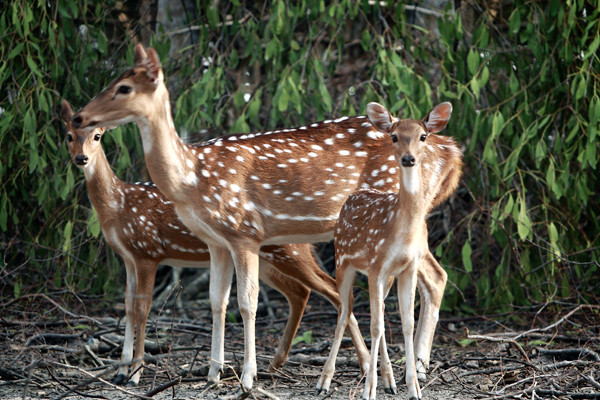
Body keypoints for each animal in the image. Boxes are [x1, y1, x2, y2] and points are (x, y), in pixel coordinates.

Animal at [61, 101, 352, 388]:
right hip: (268, 259)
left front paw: (135, 374)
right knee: (300, 292)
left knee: (330, 289)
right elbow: (129, 308)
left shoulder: (147, 251)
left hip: (287, 251)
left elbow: (142, 310)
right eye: (68, 136)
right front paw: (121, 372)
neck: (117, 207)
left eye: (97, 136)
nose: (81, 158)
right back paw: (275, 364)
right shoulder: (128, 258)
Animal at [316, 103, 462, 400]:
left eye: (423, 136)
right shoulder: (375, 266)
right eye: (394, 136)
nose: (408, 159)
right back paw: (323, 382)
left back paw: (389, 381)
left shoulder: (406, 268)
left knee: (376, 313)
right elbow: (375, 326)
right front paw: (368, 391)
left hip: (383, 277)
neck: (400, 230)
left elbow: (405, 323)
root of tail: (350, 198)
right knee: (344, 312)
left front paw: (413, 388)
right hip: (342, 261)